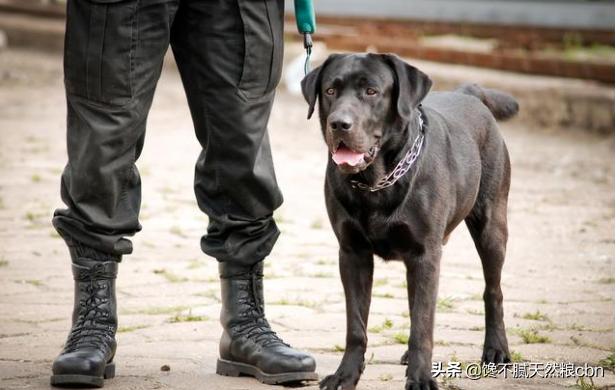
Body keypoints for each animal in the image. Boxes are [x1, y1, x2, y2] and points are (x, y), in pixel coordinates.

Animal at [300, 54, 516, 390]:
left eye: (372, 91)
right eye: (330, 91)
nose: (339, 124)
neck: (376, 183)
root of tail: (469, 93)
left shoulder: (424, 254)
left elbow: (422, 324)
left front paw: (421, 378)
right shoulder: (352, 253)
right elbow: (357, 325)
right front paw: (345, 375)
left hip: (491, 226)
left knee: (492, 291)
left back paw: (496, 349)